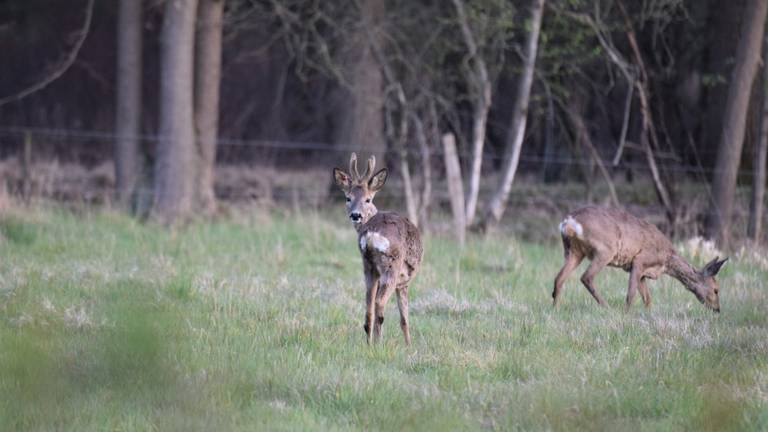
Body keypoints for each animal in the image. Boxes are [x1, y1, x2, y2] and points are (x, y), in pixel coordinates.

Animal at [332, 152, 424, 344]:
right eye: (348, 198)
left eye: (368, 199)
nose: (356, 215)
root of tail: (372, 233)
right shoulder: (404, 282)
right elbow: (405, 318)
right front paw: (409, 345)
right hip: (392, 266)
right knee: (379, 304)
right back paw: (379, 343)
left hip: (368, 266)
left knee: (368, 308)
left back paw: (370, 344)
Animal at [552, 206, 728, 310]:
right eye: (716, 290)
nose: (717, 309)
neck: (666, 260)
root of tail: (568, 222)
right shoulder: (640, 260)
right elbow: (631, 294)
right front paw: (626, 314)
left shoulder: (642, 272)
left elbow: (648, 299)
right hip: (605, 249)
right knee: (586, 277)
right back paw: (606, 307)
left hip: (573, 251)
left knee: (559, 278)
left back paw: (555, 308)